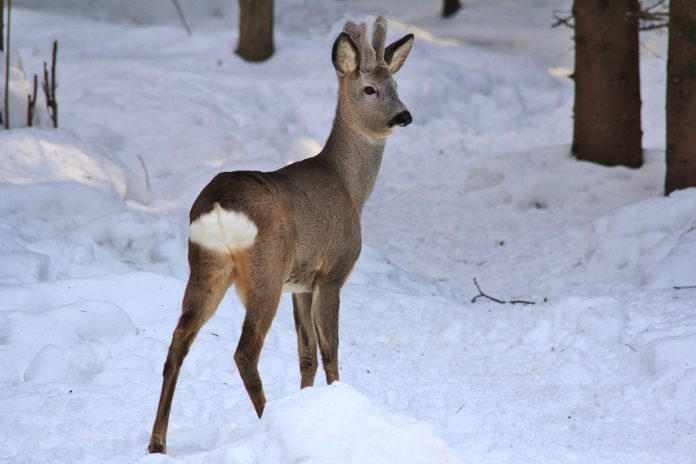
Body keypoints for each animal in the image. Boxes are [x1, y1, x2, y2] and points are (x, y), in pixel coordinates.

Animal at [145, 17, 408, 454]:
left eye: (397, 84)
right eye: (370, 88)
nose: (404, 116)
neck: (350, 188)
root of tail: (218, 204)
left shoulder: (300, 283)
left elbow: (306, 354)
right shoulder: (332, 272)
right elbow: (330, 349)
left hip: (206, 265)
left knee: (178, 341)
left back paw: (157, 444)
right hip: (264, 269)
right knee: (244, 352)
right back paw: (269, 421)